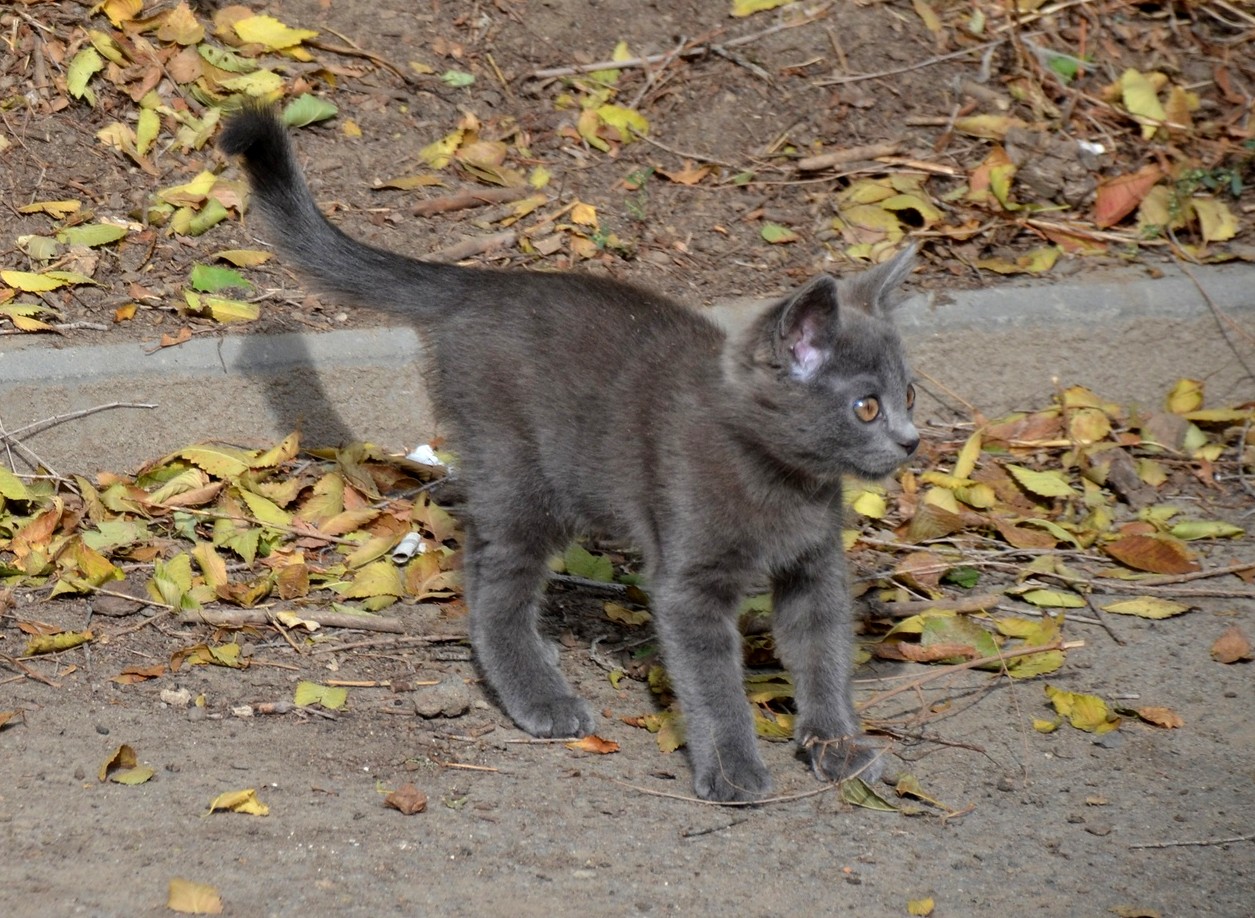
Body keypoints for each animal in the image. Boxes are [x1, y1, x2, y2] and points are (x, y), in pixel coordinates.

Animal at [218, 106, 923, 798]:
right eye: (866, 407)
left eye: (909, 393)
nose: (911, 440)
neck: (782, 483)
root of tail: (484, 284)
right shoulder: (690, 582)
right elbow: (713, 681)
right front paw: (732, 767)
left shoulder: (815, 569)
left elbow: (823, 655)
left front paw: (838, 746)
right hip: (522, 471)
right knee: (493, 580)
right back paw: (539, 695)